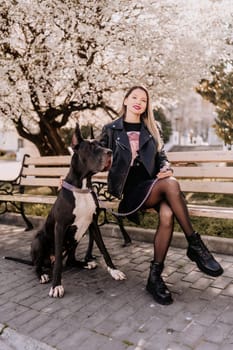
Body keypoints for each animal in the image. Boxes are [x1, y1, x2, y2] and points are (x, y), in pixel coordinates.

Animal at [5, 123, 125, 298]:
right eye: (91, 147)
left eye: (102, 144)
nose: (109, 152)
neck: (81, 187)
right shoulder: (60, 227)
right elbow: (58, 266)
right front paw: (56, 285)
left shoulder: (93, 224)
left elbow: (104, 249)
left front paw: (114, 271)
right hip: (38, 241)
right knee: (38, 265)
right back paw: (42, 274)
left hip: (77, 237)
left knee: (69, 260)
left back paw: (85, 263)